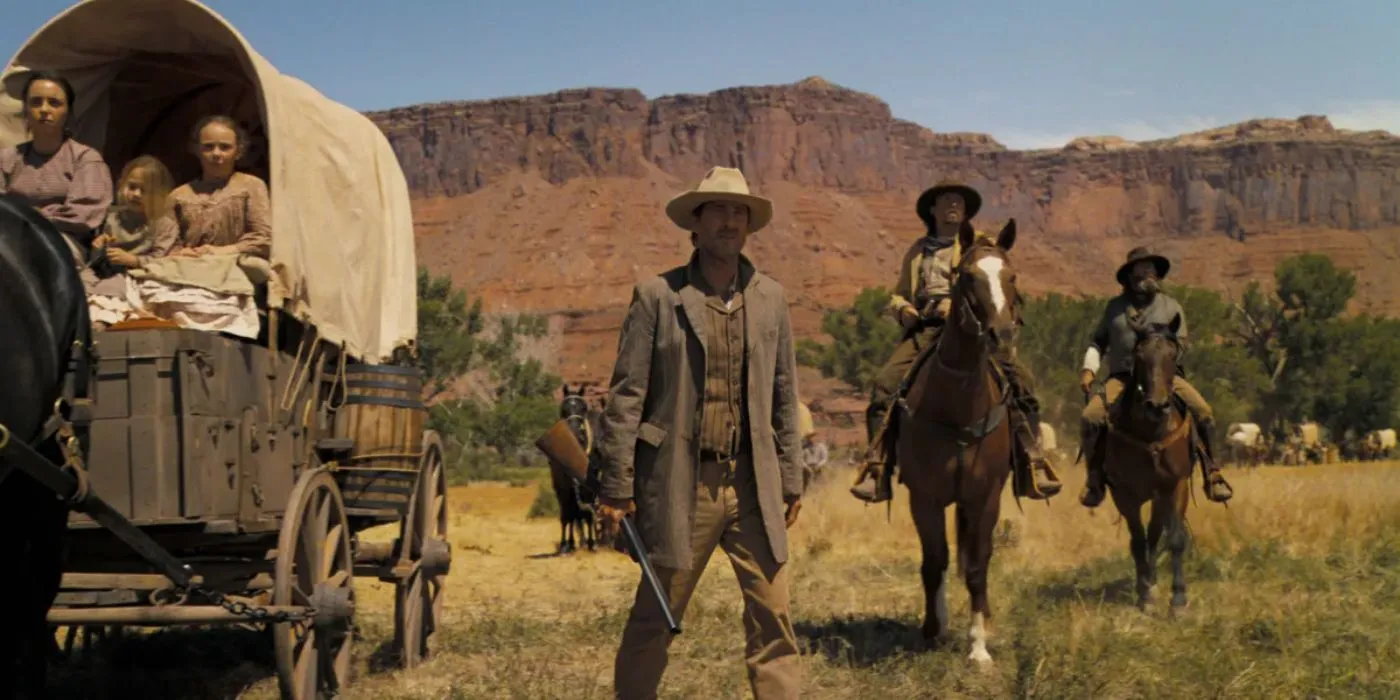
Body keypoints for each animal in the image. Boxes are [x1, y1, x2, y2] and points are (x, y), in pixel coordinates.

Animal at [1103, 315, 1192, 616]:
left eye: (1172, 354)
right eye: (1139, 355)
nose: (1157, 405)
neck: (1151, 432)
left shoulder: (1175, 486)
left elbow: (1174, 538)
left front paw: (1178, 599)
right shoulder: (1124, 494)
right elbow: (1137, 540)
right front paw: (1145, 595)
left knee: (1155, 534)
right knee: (1144, 538)